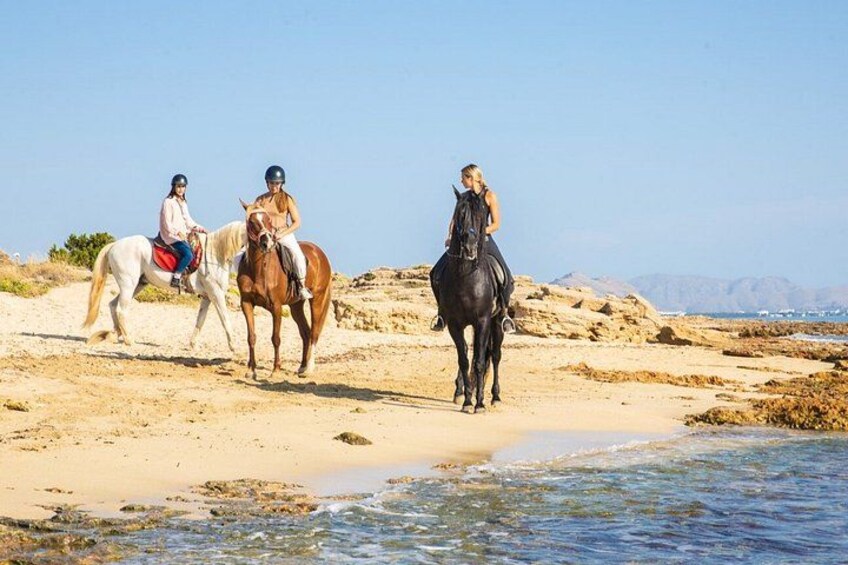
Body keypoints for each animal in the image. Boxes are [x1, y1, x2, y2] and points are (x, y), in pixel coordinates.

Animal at [83, 221, 247, 351]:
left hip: (137, 285)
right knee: (121, 310)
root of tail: (114, 245)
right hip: (128, 285)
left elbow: (200, 320)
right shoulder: (216, 294)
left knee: (113, 305)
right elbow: (225, 319)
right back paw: (129, 340)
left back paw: (115, 334)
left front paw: (193, 344)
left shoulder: (207, 297)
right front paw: (233, 346)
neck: (215, 254)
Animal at [237, 201, 332, 379]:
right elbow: (251, 337)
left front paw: (275, 370)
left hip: (317, 300)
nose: (267, 243)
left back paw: (309, 369)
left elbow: (276, 338)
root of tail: (319, 253)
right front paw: (251, 370)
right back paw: (302, 367)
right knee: (306, 332)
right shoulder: (246, 304)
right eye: (252, 222)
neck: (259, 269)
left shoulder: (276, 307)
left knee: (314, 332)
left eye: (268, 220)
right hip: (296, 306)